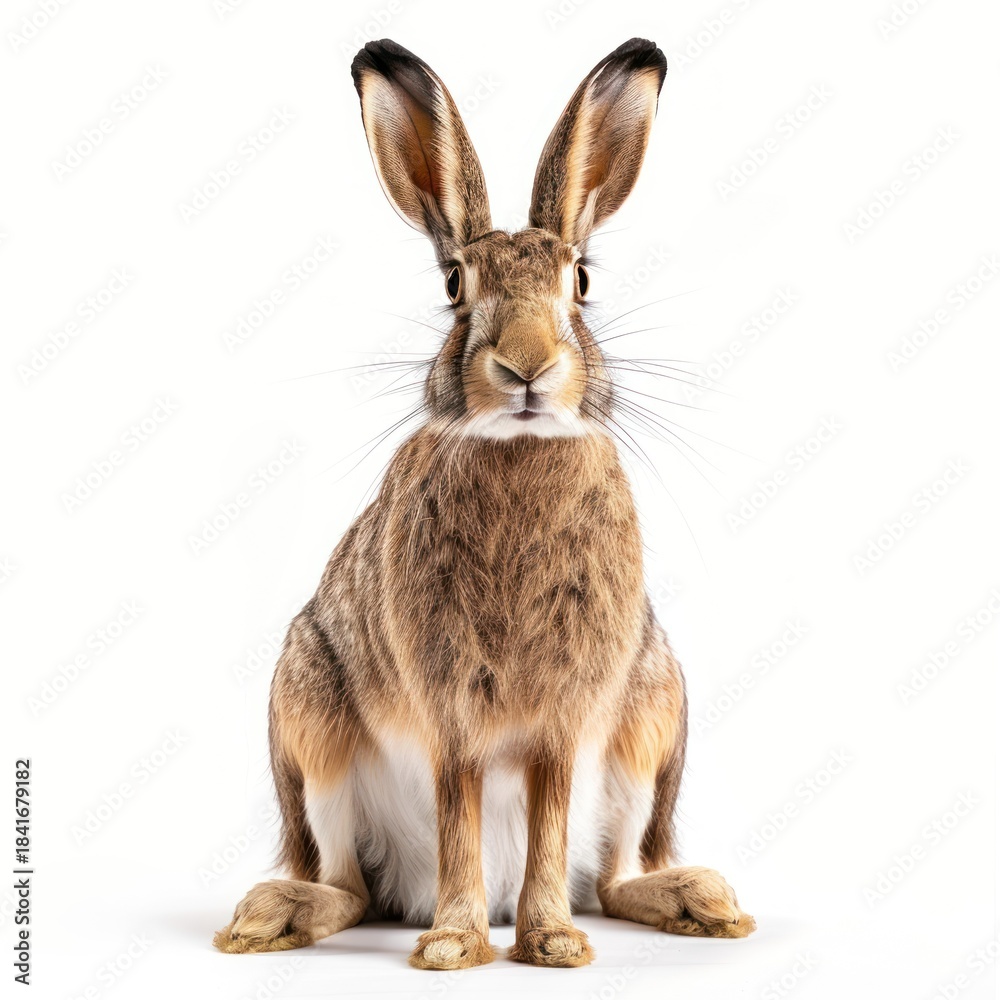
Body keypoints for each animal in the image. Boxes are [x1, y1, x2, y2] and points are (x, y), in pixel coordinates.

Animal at [213, 37, 755, 970]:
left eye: (581, 282)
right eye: (455, 285)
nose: (527, 366)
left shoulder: (567, 719)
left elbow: (550, 814)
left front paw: (553, 943)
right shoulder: (450, 712)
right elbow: (458, 808)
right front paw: (453, 946)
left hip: (652, 724)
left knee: (617, 873)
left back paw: (701, 902)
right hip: (309, 724)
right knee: (347, 886)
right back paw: (272, 916)